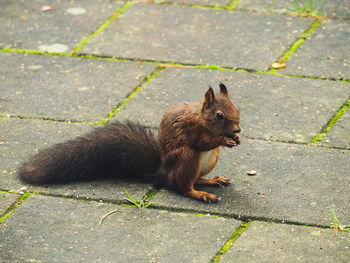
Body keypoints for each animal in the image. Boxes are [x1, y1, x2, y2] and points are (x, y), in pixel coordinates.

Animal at [19, 83, 241, 203]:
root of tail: (164, 172)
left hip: (210, 161)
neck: (201, 118)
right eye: (219, 115)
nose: (238, 130)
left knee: (195, 179)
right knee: (183, 186)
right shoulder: (191, 129)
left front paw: (236, 139)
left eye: (237, 108)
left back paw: (211, 181)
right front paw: (223, 139)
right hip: (186, 157)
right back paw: (200, 194)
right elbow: (202, 142)